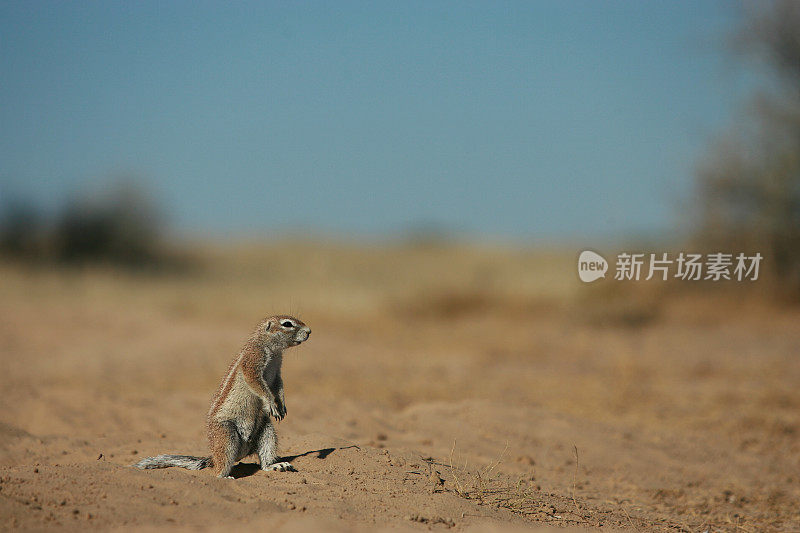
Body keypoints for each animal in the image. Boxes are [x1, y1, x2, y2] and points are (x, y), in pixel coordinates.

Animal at [134, 314, 310, 476]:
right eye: (287, 324)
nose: (309, 331)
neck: (270, 349)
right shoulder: (253, 361)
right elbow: (257, 385)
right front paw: (271, 404)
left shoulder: (277, 372)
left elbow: (279, 386)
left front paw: (282, 405)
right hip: (226, 436)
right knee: (220, 467)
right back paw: (226, 476)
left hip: (266, 430)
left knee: (264, 458)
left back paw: (276, 465)